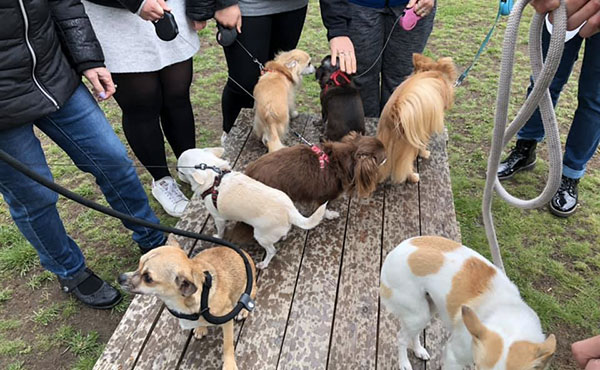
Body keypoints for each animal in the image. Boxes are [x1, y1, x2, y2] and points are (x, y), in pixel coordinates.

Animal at [118, 241, 256, 370]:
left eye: (148, 278)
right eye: (139, 263)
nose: (120, 278)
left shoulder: (227, 321)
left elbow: (228, 345)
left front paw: (229, 365)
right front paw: (200, 328)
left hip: (246, 290)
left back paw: (243, 311)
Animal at [178, 147, 328, 268]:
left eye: (180, 171)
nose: (176, 171)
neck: (214, 178)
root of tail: (290, 210)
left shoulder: (218, 217)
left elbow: (220, 231)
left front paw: (217, 236)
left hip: (260, 236)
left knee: (272, 251)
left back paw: (264, 264)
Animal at [246, 132, 386, 218]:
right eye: (383, 157)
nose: (388, 157)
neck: (337, 163)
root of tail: (250, 172)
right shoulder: (324, 196)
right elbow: (323, 209)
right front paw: (330, 215)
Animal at [378, 53, 458, 184]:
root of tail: (395, 112)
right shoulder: (423, 131)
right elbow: (422, 146)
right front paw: (424, 153)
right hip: (407, 149)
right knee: (405, 167)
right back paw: (414, 177)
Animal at [382, 237, 556, 370]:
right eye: (478, 367)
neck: (511, 320)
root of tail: (395, 250)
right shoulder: (453, 357)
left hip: (427, 309)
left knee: (413, 333)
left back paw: (419, 350)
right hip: (418, 314)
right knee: (401, 337)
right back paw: (404, 363)